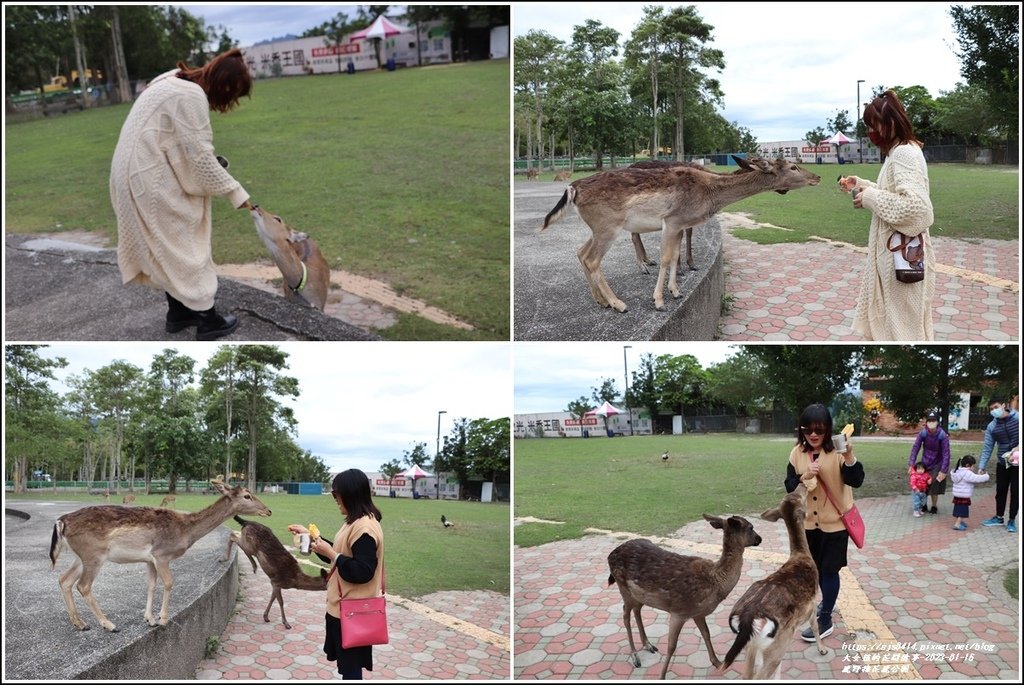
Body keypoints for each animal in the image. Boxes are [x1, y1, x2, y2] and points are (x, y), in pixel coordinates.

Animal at [48, 481, 272, 630]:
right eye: (247, 496)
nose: (268, 510)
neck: (185, 531)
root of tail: (61, 521)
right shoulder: (162, 554)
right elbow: (169, 582)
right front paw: (163, 619)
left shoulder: (150, 559)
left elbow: (151, 585)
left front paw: (150, 619)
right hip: (94, 555)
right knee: (83, 585)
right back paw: (108, 624)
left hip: (80, 557)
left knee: (64, 579)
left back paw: (80, 623)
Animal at [540, 154, 819, 309]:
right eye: (793, 167)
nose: (817, 177)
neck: (709, 192)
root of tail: (572, 187)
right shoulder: (672, 220)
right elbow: (665, 258)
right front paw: (659, 301)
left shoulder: (679, 224)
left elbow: (674, 256)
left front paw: (675, 291)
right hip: (607, 225)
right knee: (592, 259)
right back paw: (618, 303)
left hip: (597, 227)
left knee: (580, 251)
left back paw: (600, 301)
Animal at [606, 511, 761, 679]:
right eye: (751, 527)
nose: (760, 539)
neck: (714, 582)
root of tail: (610, 555)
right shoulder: (679, 611)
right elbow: (672, 646)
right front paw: (662, 676)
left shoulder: (698, 613)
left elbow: (706, 634)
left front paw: (717, 662)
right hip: (623, 587)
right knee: (625, 615)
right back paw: (635, 656)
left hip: (637, 595)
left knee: (637, 610)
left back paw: (648, 645)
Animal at [716, 483, 827, 675]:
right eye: (799, 496)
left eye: (792, 494)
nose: (802, 484)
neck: (802, 555)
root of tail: (748, 617)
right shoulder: (812, 604)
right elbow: (814, 626)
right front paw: (822, 649)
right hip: (778, 643)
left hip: (752, 645)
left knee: (747, 674)